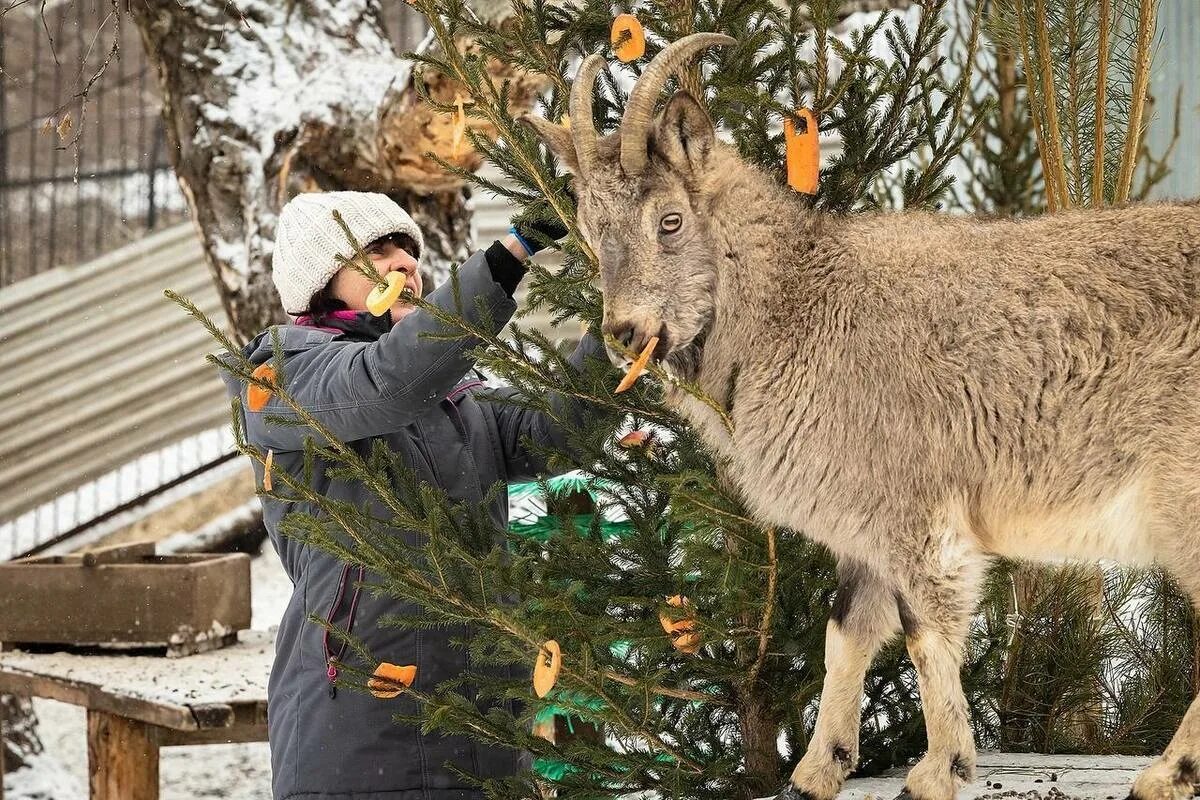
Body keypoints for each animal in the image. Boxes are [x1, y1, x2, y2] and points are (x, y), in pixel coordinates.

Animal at [525, 34, 1200, 800]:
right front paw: (818, 768)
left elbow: (923, 632)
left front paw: (939, 769)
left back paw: (1165, 773)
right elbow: (845, 632)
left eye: (669, 220)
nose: (625, 332)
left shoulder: (916, 515)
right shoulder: (862, 527)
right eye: (590, 229)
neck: (796, 306)